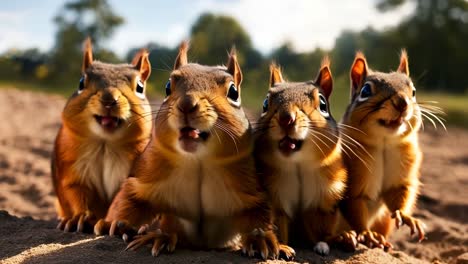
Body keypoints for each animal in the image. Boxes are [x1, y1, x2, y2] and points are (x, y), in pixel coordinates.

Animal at [51, 37, 154, 233]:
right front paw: (79, 217)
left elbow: (131, 198)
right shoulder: (69, 167)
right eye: (81, 82)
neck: (105, 143)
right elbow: (74, 193)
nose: (109, 99)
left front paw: (115, 223)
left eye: (140, 87)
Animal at [93, 41, 294, 260]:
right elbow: (130, 198)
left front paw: (261, 239)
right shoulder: (145, 175)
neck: (198, 161)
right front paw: (120, 224)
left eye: (233, 92)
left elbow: (258, 212)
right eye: (168, 86)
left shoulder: (250, 185)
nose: (187, 104)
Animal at [252, 58, 354, 256]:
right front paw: (281, 246)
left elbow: (320, 228)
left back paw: (347, 237)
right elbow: (278, 224)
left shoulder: (325, 198)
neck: (296, 164)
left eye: (323, 104)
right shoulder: (274, 197)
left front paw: (323, 245)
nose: (286, 119)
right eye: (265, 103)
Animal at [338, 51, 426, 250]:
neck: (384, 143)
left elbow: (399, 194)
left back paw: (381, 239)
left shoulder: (402, 172)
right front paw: (365, 233)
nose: (402, 102)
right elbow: (355, 207)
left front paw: (406, 216)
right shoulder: (353, 186)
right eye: (365, 91)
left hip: (384, 221)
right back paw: (345, 236)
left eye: (414, 92)